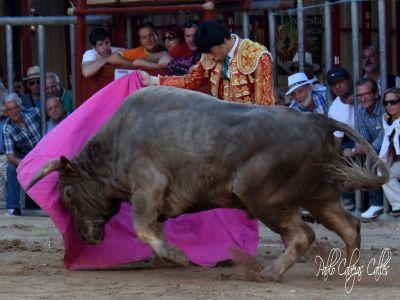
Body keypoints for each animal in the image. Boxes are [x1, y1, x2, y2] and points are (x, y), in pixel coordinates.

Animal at [26, 86, 390, 282]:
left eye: (68, 193)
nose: (86, 236)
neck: (115, 145)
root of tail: (316, 120)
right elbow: (152, 227)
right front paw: (164, 258)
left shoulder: (148, 184)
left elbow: (143, 226)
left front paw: (177, 256)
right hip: (319, 195)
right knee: (349, 226)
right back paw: (348, 273)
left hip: (263, 198)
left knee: (303, 234)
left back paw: (270, 273)